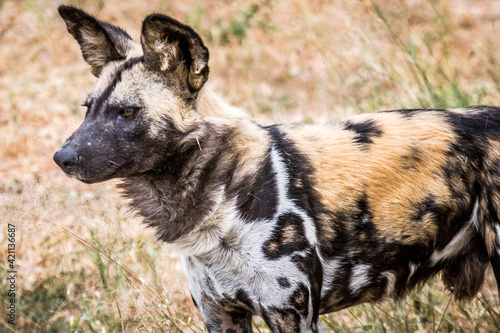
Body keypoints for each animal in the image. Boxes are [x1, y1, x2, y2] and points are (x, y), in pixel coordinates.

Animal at [52, 5, 498, 332]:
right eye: (87, 108)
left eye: (128, 112)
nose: (62, 158)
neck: (223, 198)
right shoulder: (221, 316)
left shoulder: (292, 316)